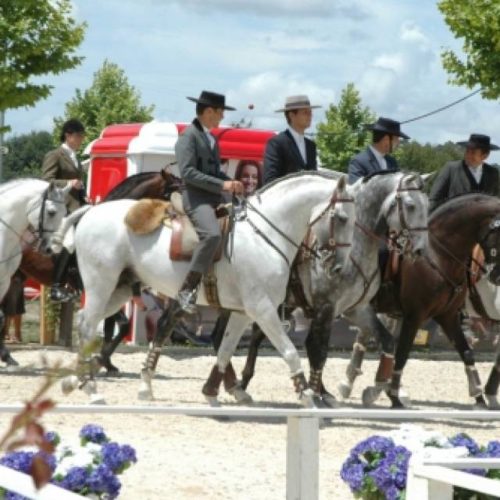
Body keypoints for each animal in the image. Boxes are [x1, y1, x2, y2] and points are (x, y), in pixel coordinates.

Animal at [63, 172, 344, 406]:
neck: (263, 235)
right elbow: (290, 351)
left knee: (85, 321)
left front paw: (213, 391)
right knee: (89, 326)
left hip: (119, 289)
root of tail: (90, 212)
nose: (338, 267)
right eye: (342, 218)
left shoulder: (243, 311)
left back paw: (77, 378)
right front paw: (307, 395)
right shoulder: (262, 309)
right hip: (102, 284)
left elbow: (226, 349)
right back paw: (91, 388)